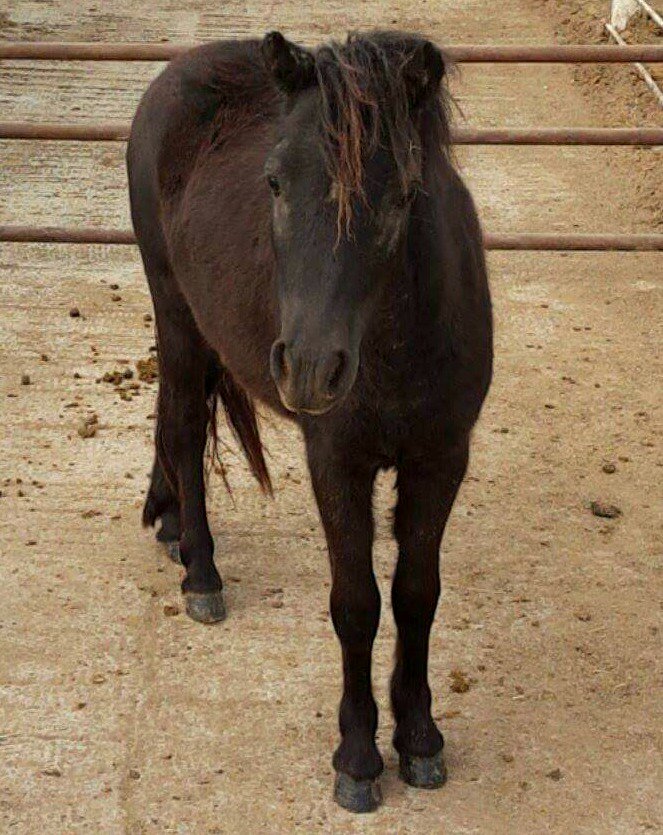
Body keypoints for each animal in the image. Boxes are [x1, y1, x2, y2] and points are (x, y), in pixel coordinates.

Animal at [127, 30, 493, 813]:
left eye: (400, 191)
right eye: (273, 182)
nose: (310, 367)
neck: (395, 346)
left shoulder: (440, 458)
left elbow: (417, 595)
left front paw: (420, 740)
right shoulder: (337, 462)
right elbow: (356, 603)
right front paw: (356, 757)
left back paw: (169, 524)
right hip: (174, 312)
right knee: (181, 427)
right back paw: (200, 570)